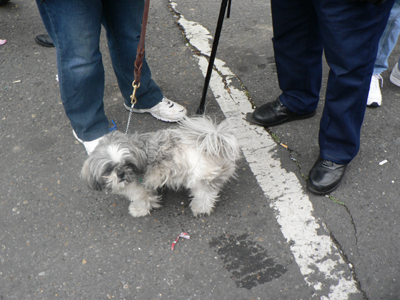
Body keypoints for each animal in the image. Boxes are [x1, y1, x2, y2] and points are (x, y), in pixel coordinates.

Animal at [81, 116, 241, 217]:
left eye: (128, 164)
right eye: (108, 169)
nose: (121, 173)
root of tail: (214, 142)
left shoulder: (139, 188)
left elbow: (143, 200)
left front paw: (138, 210)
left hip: (200, 178)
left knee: (206, 194)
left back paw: (200, 208)